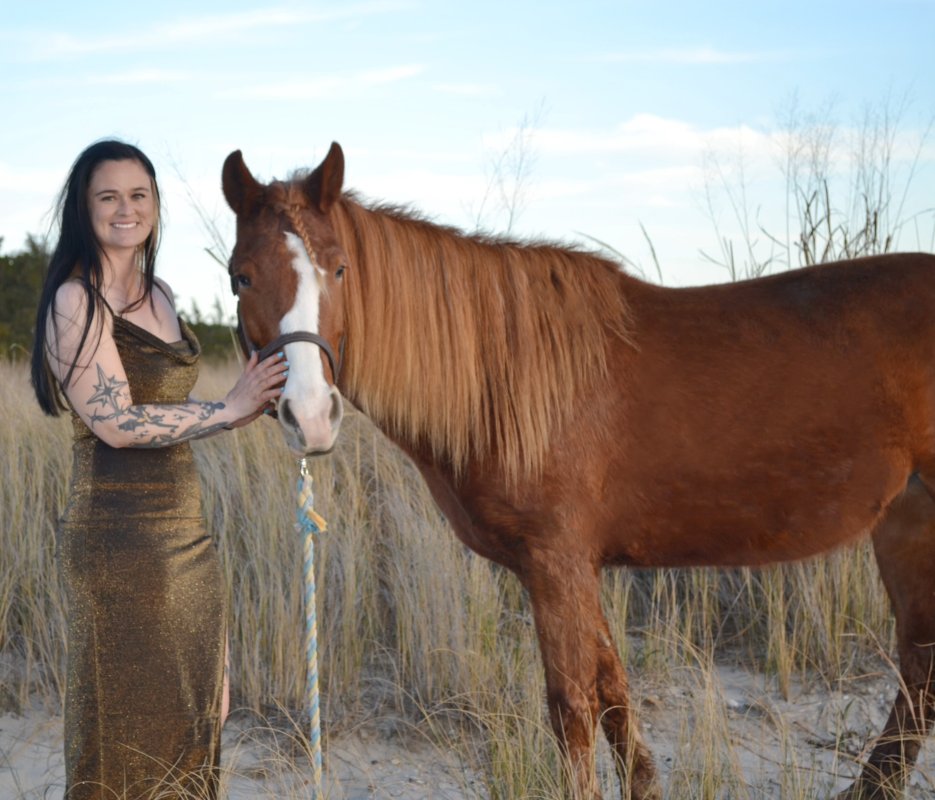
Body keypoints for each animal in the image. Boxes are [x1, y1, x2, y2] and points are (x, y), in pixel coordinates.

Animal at [221, 141, 935, 800]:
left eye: (339, 269)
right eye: (241, 278)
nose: (310, 416)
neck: (502, 382)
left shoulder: (555, 562)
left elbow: (573, 708)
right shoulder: (575, 567)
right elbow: (613, 688)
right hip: (907, 525)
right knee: (919, 667)